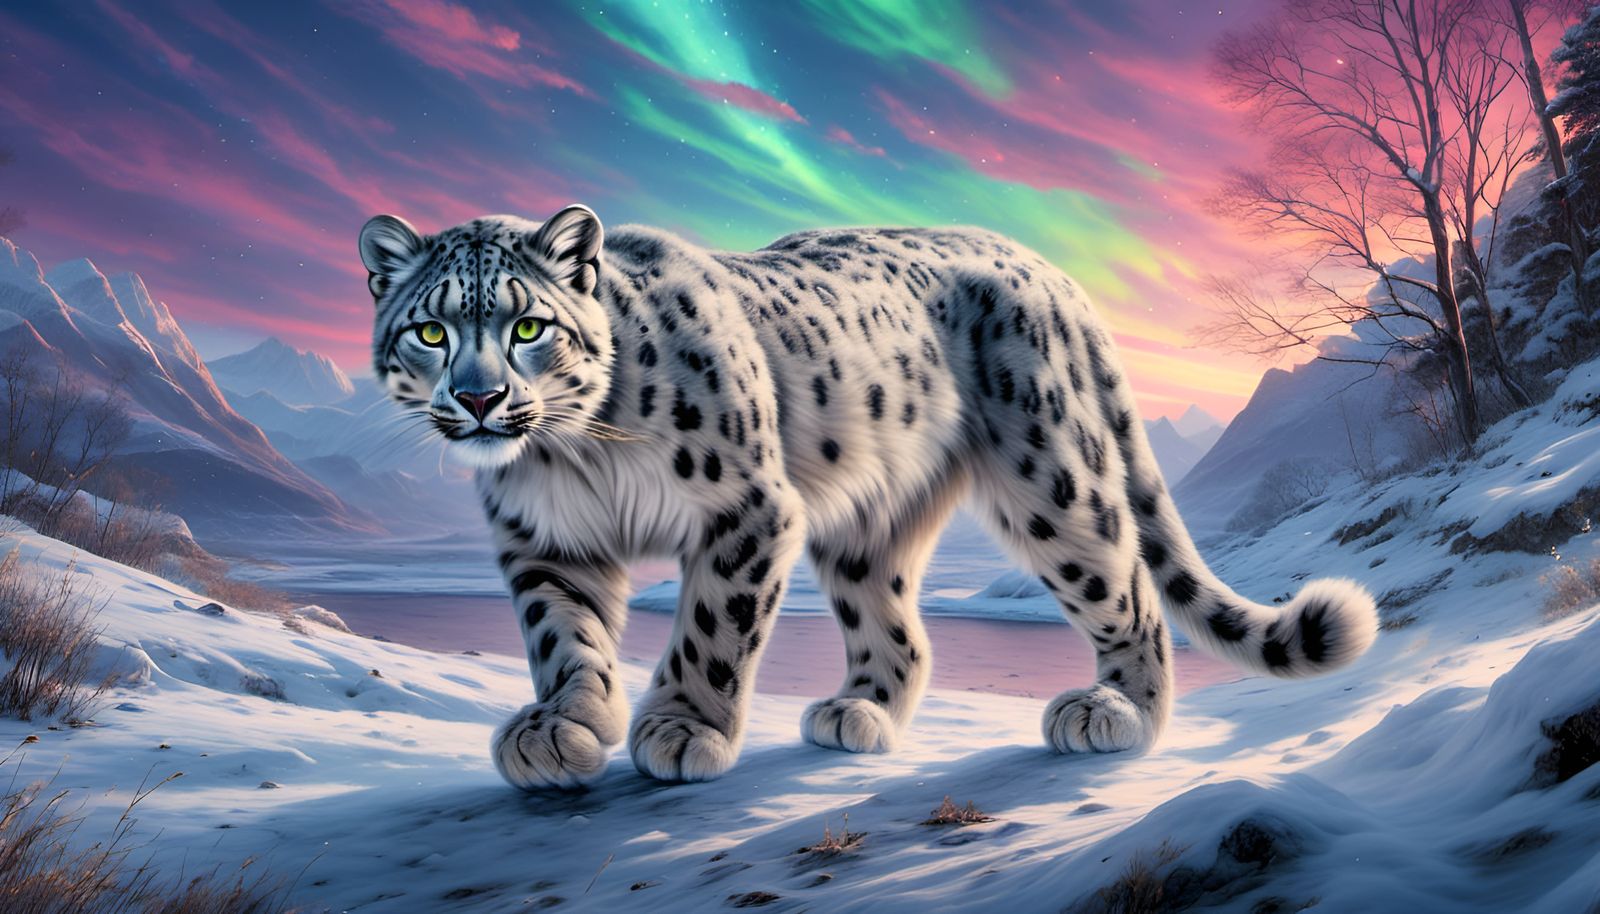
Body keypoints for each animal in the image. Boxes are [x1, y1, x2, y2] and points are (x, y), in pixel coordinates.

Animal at [358, 204, 1378, 790]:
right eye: (430, 331)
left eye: (528, 326)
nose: (480, 399)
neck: (572, 455)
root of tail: (1037, 262)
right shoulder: (546, 544)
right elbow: (561, 638)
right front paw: (565, 728)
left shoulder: (746, 508)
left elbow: (711, 629)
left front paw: (682, 728)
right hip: (867, 522)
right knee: (901, 630)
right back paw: (859, 715)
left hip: (1053, 477)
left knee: (1126, 587)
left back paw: (1116, 718)